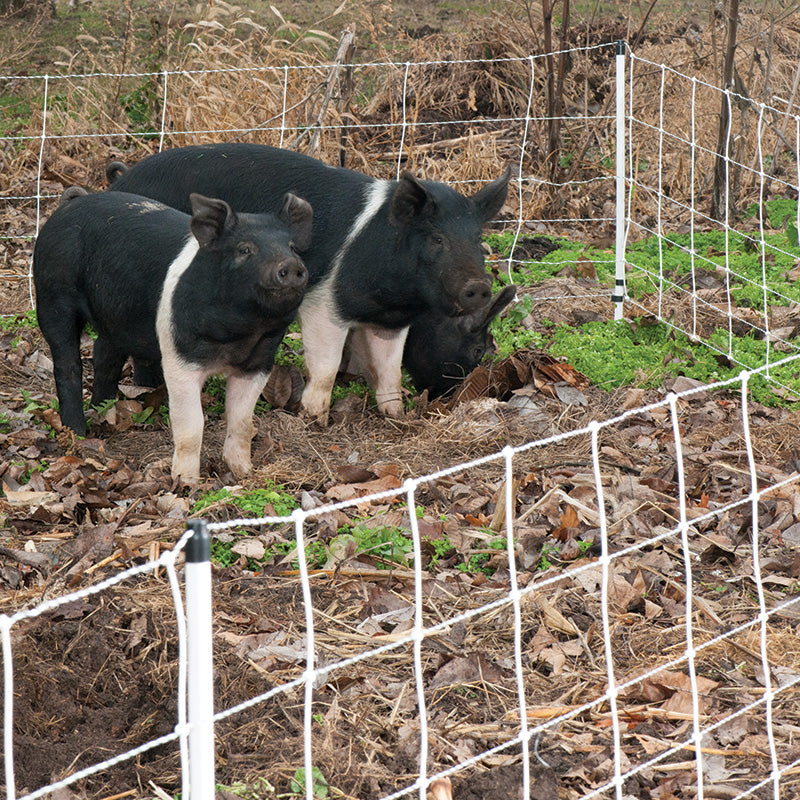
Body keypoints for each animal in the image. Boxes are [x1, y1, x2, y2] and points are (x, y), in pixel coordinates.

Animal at [33, 188, 312, 481]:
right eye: (244, 249)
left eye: (292, 247)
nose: (291, 265)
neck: (237, 334)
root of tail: (70, 204)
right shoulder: (180, 357)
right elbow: (191, 424)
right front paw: (186, 482)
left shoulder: (259, 361)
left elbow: (242, 421)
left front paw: (244, 473)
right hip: (52, 295)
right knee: (67, 364)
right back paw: (76, 433)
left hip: (113, 317)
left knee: (105, 356)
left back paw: (104, 411)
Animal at [106, 144, 510, 423]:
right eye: (437, 239)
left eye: (477, 238)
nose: (479, 287)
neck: (393, 298)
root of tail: (119, 181)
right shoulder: (322, 302)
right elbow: (326, 367)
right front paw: (315, 418)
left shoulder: (389, 323)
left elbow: (390, 371)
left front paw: (396, 415)